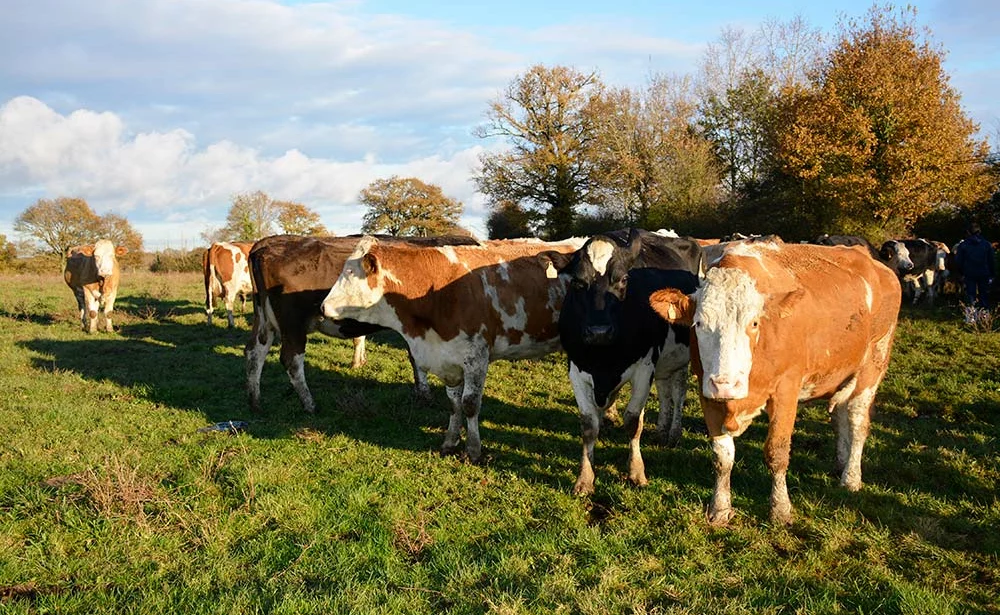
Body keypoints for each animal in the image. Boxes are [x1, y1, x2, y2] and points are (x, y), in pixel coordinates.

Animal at [241, 233, 476, 416]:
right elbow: (418, 359)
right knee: (292, 360)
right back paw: (310, 404)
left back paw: (255, 402)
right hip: (293, 324)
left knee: (254, 352)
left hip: (264, 320)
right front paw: (425, 394)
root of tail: (263, 245)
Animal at [320, 235, 584, 462]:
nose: (322, 307)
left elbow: (470, 404)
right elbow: (454, 404)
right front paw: (449, 442)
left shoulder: (477, 357)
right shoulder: (446, 358)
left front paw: (474, 450)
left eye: (349, 273)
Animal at [556, 227, 704, 496]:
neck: (603, 360)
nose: (599, 331)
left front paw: (636, 472)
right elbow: (588, 424)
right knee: (665, 390)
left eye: (624, 280)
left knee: (678, 392)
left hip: (681, 355)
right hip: (664, 360)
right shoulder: (576, 369)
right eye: (577, 282)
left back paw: (674, 433)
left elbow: (634, 420)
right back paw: (662, 431)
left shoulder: (644, 367)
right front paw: (584, 479)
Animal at [644, 239, 904, 524]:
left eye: (755, 323)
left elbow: (777, 453)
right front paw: (720, 509)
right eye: (698, 323)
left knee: (857, 421)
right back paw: (841, 462)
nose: (726, 384)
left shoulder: (786, 391)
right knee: (841, 416)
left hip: (873, 364)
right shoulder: (707, 393)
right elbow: (722, 456)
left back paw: (851, 477)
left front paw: (780, 508)